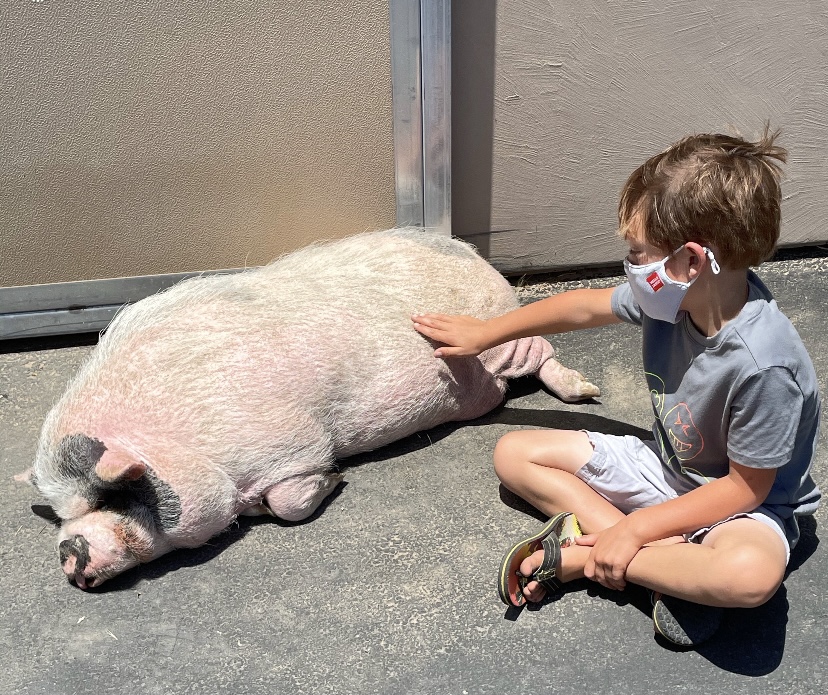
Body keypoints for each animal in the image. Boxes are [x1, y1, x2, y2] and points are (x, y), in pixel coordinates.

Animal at [20, 228, 599, 589]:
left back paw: (586, 392)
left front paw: (333, 479)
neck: (180, 442)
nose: (68, 554)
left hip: (499, 337)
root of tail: (472, 254)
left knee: (543, 352)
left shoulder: (290, 442)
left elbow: (292, 501)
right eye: (64, 514)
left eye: (111, 494)